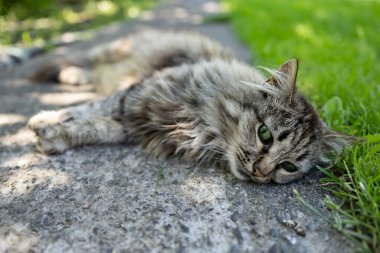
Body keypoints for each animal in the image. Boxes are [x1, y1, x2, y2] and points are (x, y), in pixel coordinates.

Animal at [28, 29, 354, 184]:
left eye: (289, 167)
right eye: (265, 135)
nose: (261, 173)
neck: (204, 126)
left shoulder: (134, 122)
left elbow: (95, 127)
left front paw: (54, 136)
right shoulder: (138, 95)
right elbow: (88, 109)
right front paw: (46, 119)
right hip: (110, 52)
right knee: (83, 63)